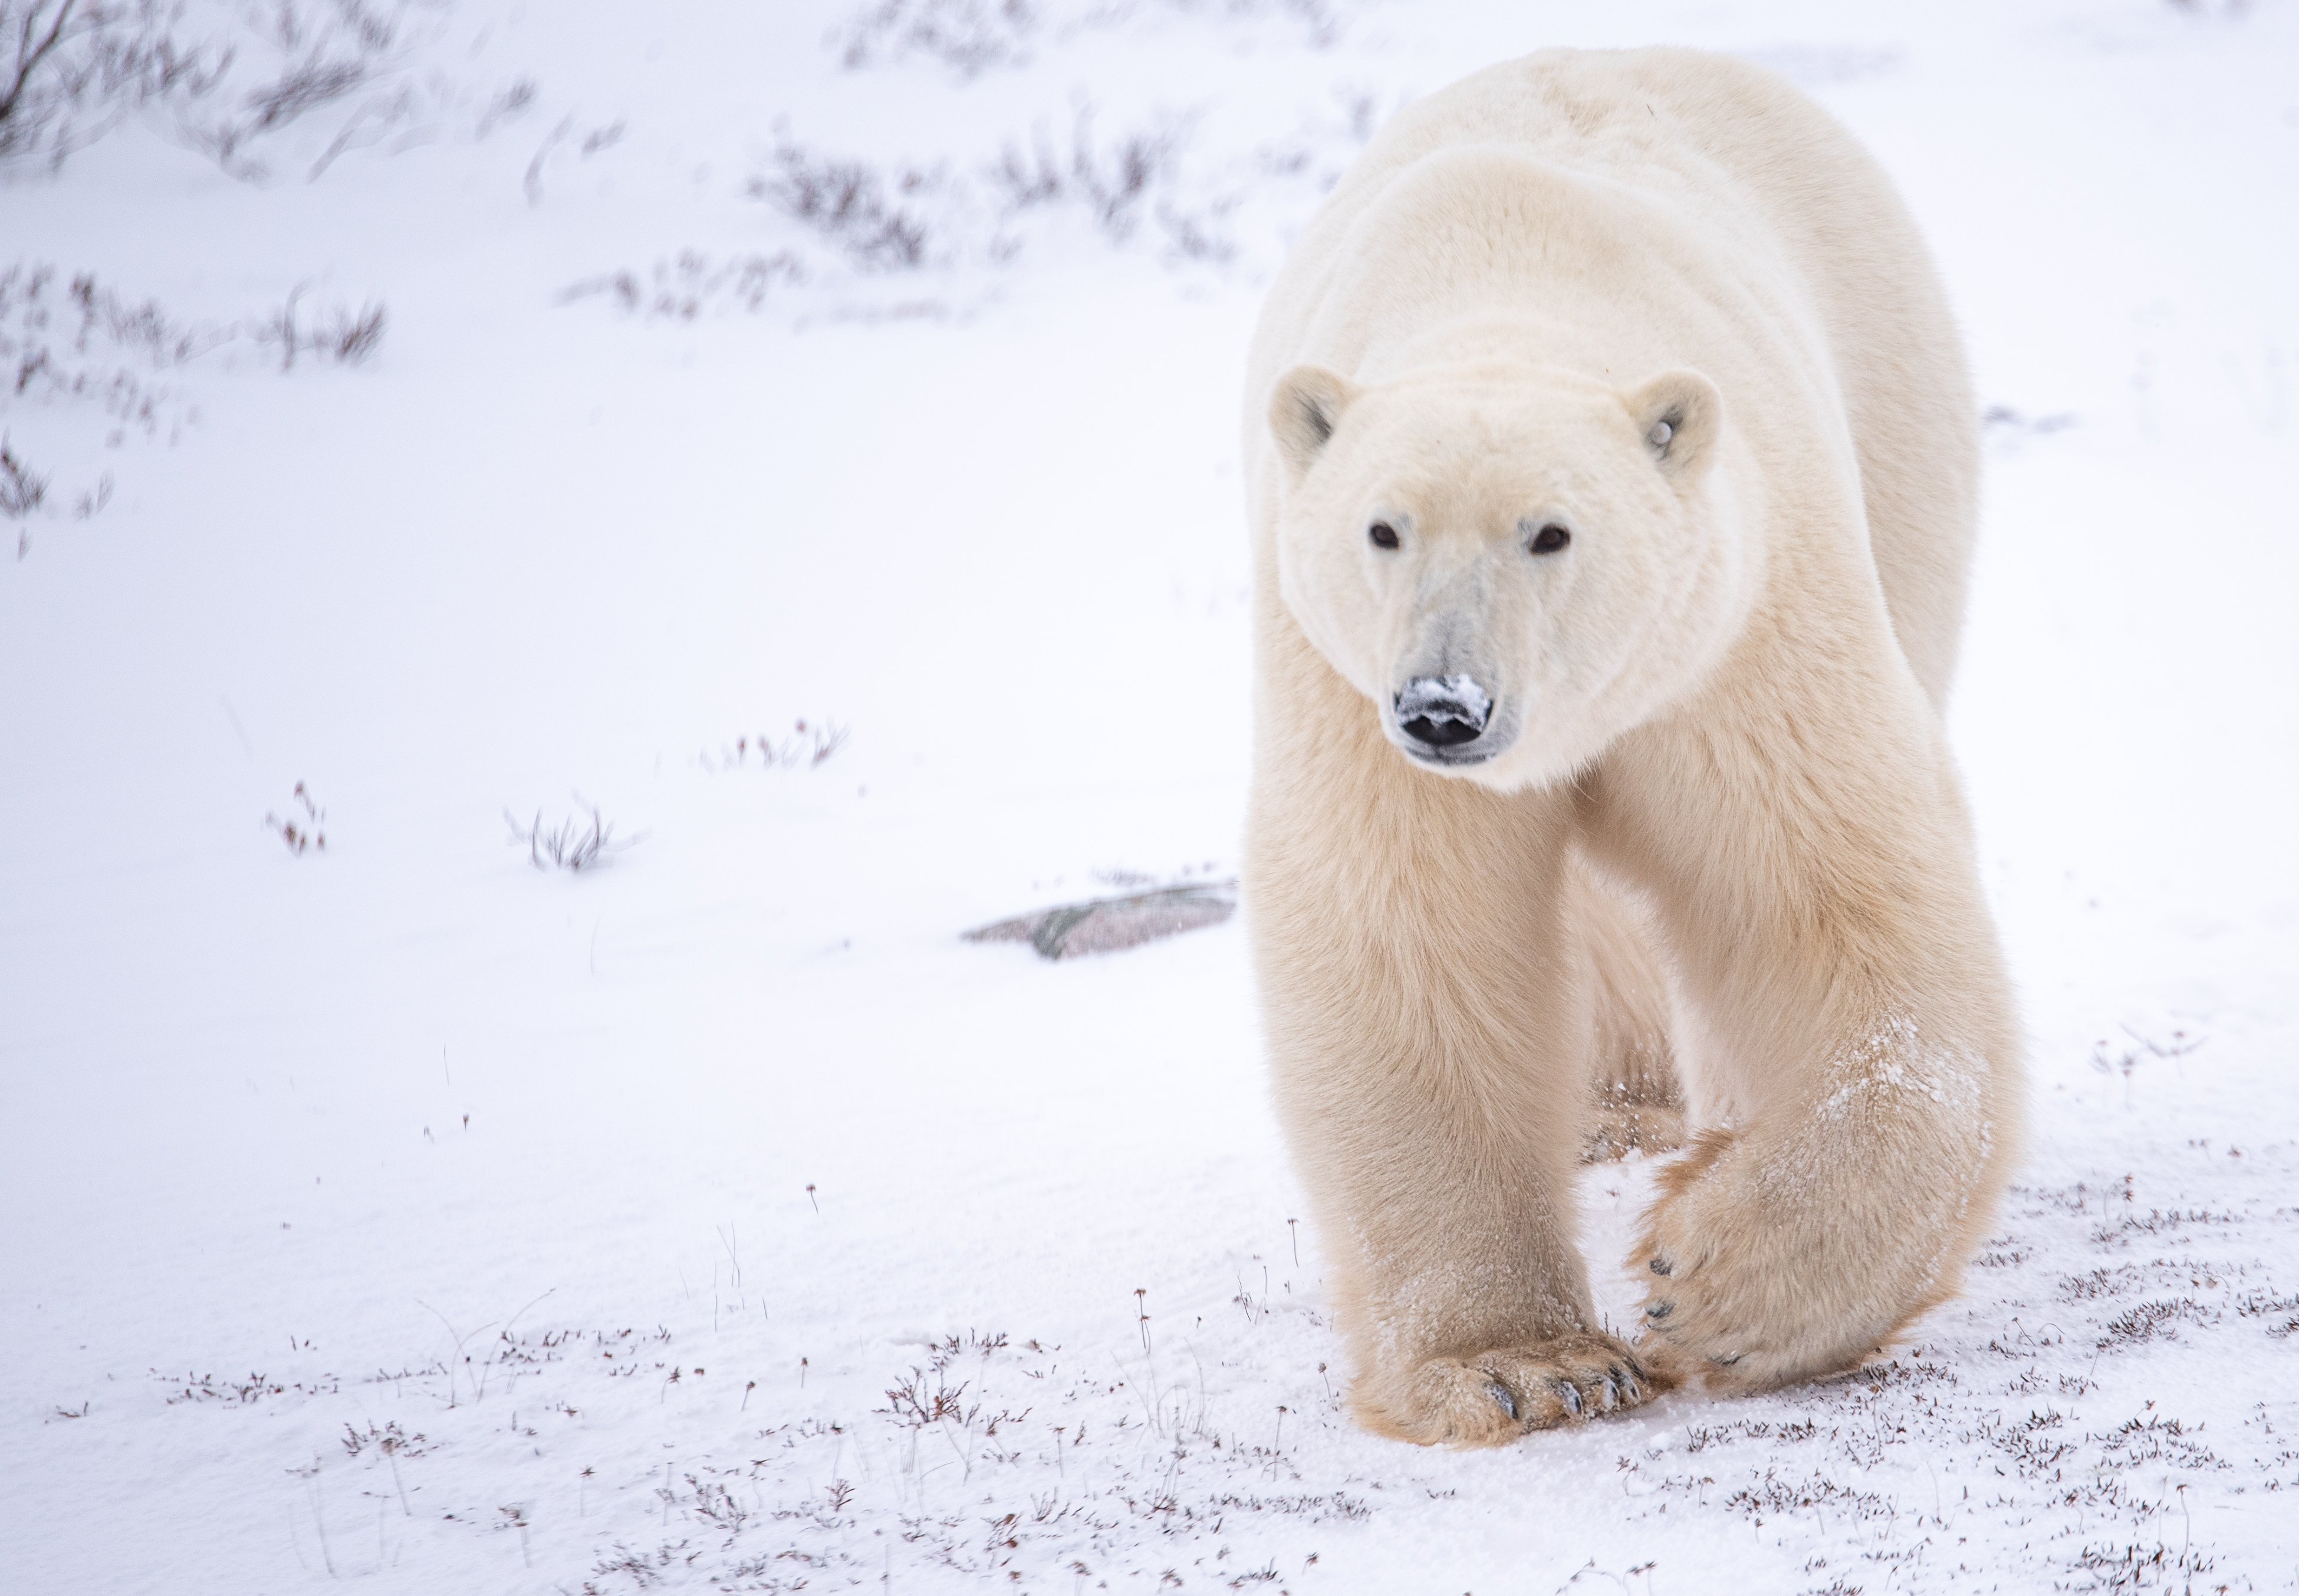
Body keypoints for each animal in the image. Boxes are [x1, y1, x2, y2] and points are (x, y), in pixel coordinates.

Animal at [1251, 50, 2023, 1453]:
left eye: (1548, 532)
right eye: (1381, 529)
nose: (1442, 707)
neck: (1510, 283)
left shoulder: (1737, 629)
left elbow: (1823, 894)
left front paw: (1712, 1282)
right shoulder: (1339, 694)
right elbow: (1411, 941)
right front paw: (1519, 1365)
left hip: (1899, 421)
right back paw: (1613, 1108)